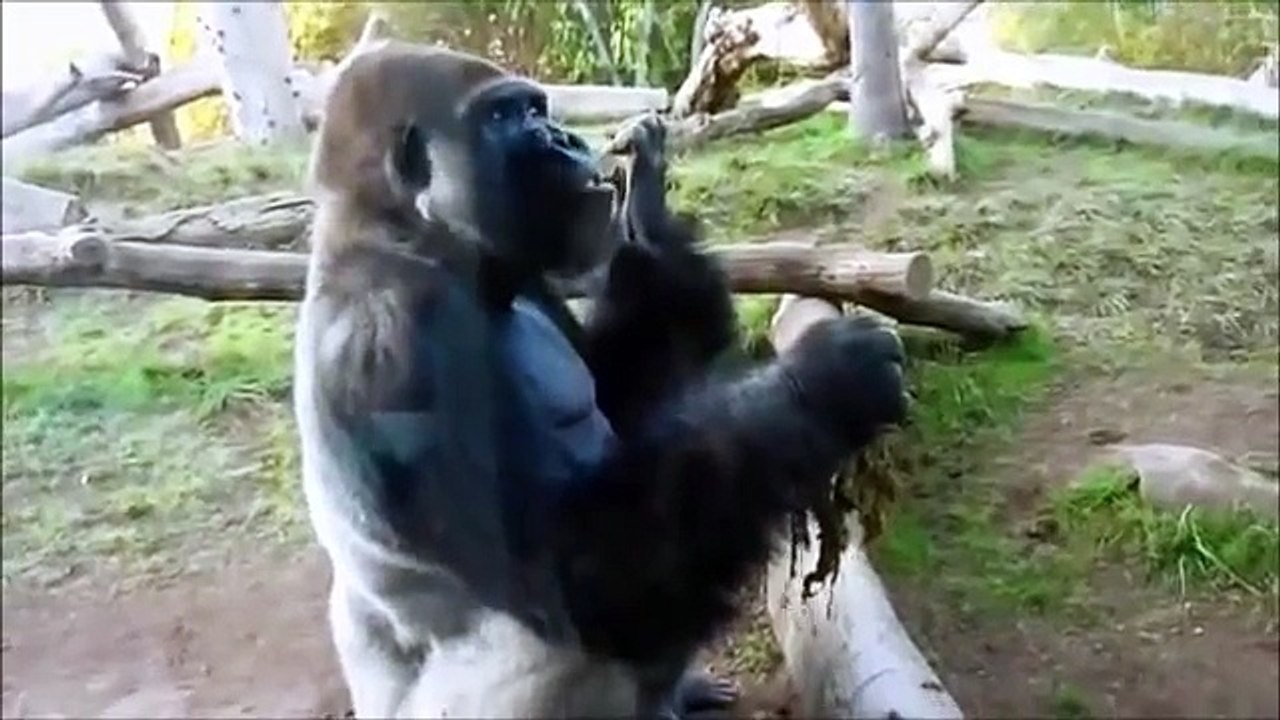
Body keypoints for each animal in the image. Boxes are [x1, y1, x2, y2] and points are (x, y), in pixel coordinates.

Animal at [293, 40, 909, 719]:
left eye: (536, 109)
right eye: (504, 117)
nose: (563, 137)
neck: (399, 234)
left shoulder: (531, 277)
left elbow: (626, 402)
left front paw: (650, 216)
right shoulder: (397, 343)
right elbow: (579, 575)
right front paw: (823, 386)